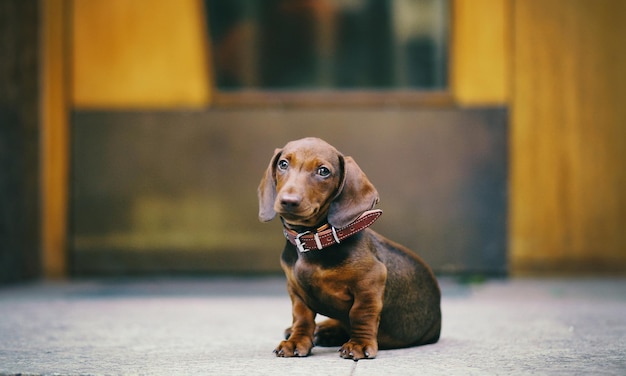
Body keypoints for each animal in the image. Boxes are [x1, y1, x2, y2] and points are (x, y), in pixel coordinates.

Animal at [256, 137, 442, 360]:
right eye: (283, 164)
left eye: (323, 171)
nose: (288, 201)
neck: (312, 240)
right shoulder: (295, 289)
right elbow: (301, 317)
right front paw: (296, 341)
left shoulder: (370, 282)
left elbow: (361, 314)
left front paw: (359, 344)